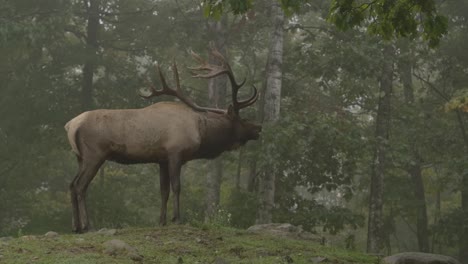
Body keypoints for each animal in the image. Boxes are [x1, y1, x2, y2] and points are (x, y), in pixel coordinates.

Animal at [64, 49, 262, 233]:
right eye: (241, 119)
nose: (258, 128)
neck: (200, 131)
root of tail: (70, 126)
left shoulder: (162, 159)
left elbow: (163, 191)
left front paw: (162, 221)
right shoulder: (175, 152)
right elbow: (176, 186)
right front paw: (177, 219)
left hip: (80, 157)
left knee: (72, 184)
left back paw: (75, 226)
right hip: (94, 154)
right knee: (80, 186)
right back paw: (87, 226)